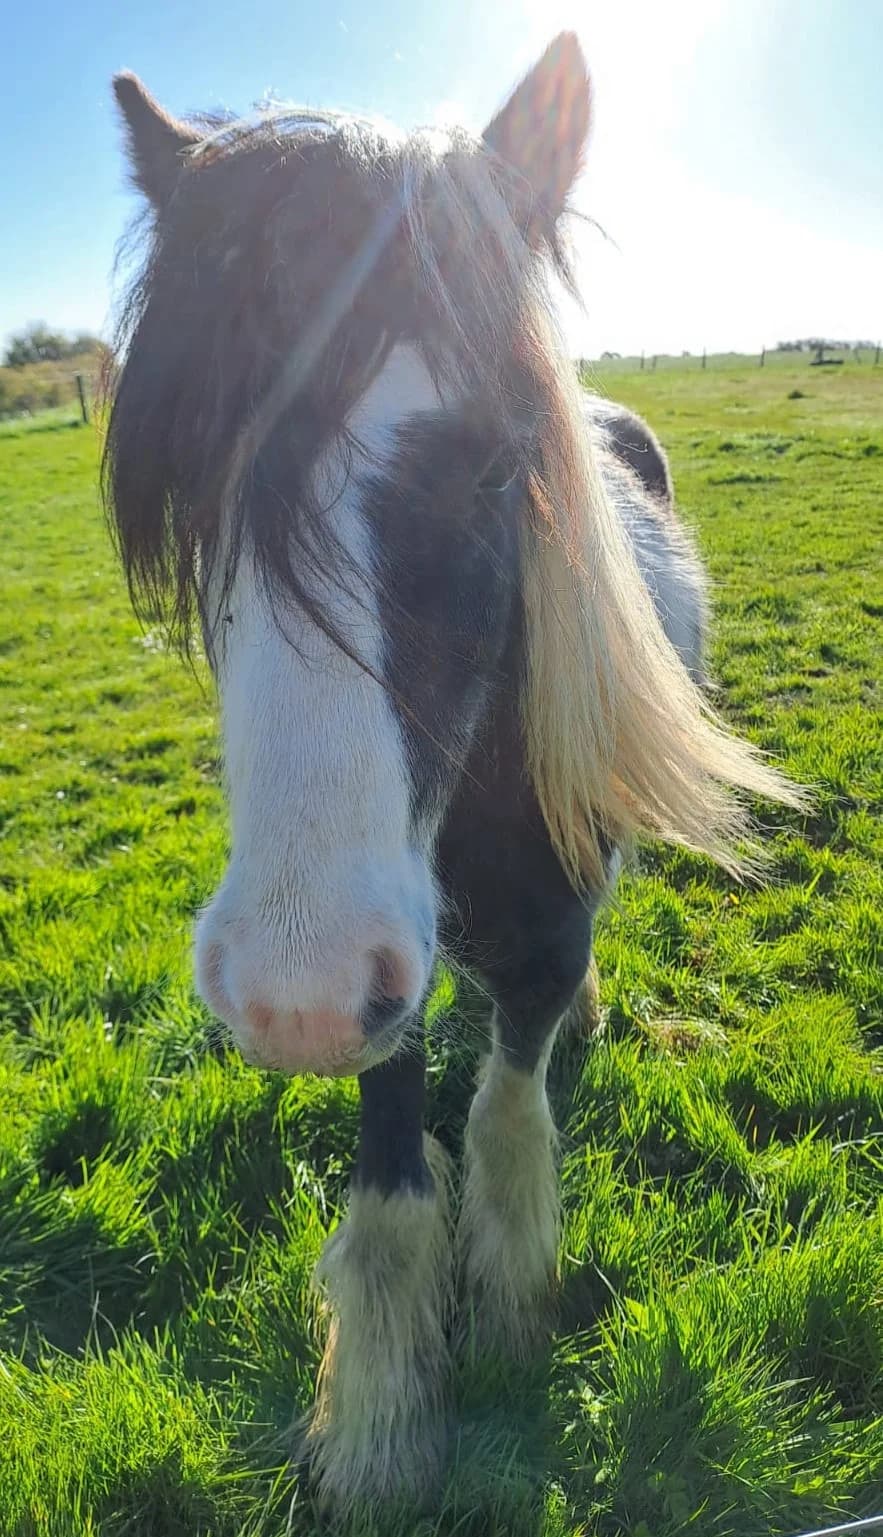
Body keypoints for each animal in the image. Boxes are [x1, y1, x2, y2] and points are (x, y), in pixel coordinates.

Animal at [104, 33, 801, 1512]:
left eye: (496, 469)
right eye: (191, 491)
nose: (290, 994)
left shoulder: (532, 930)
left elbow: (507, 1104)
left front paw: (511, 1308)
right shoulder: (392, 980)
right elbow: (389, 1171)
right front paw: (378, 1425)